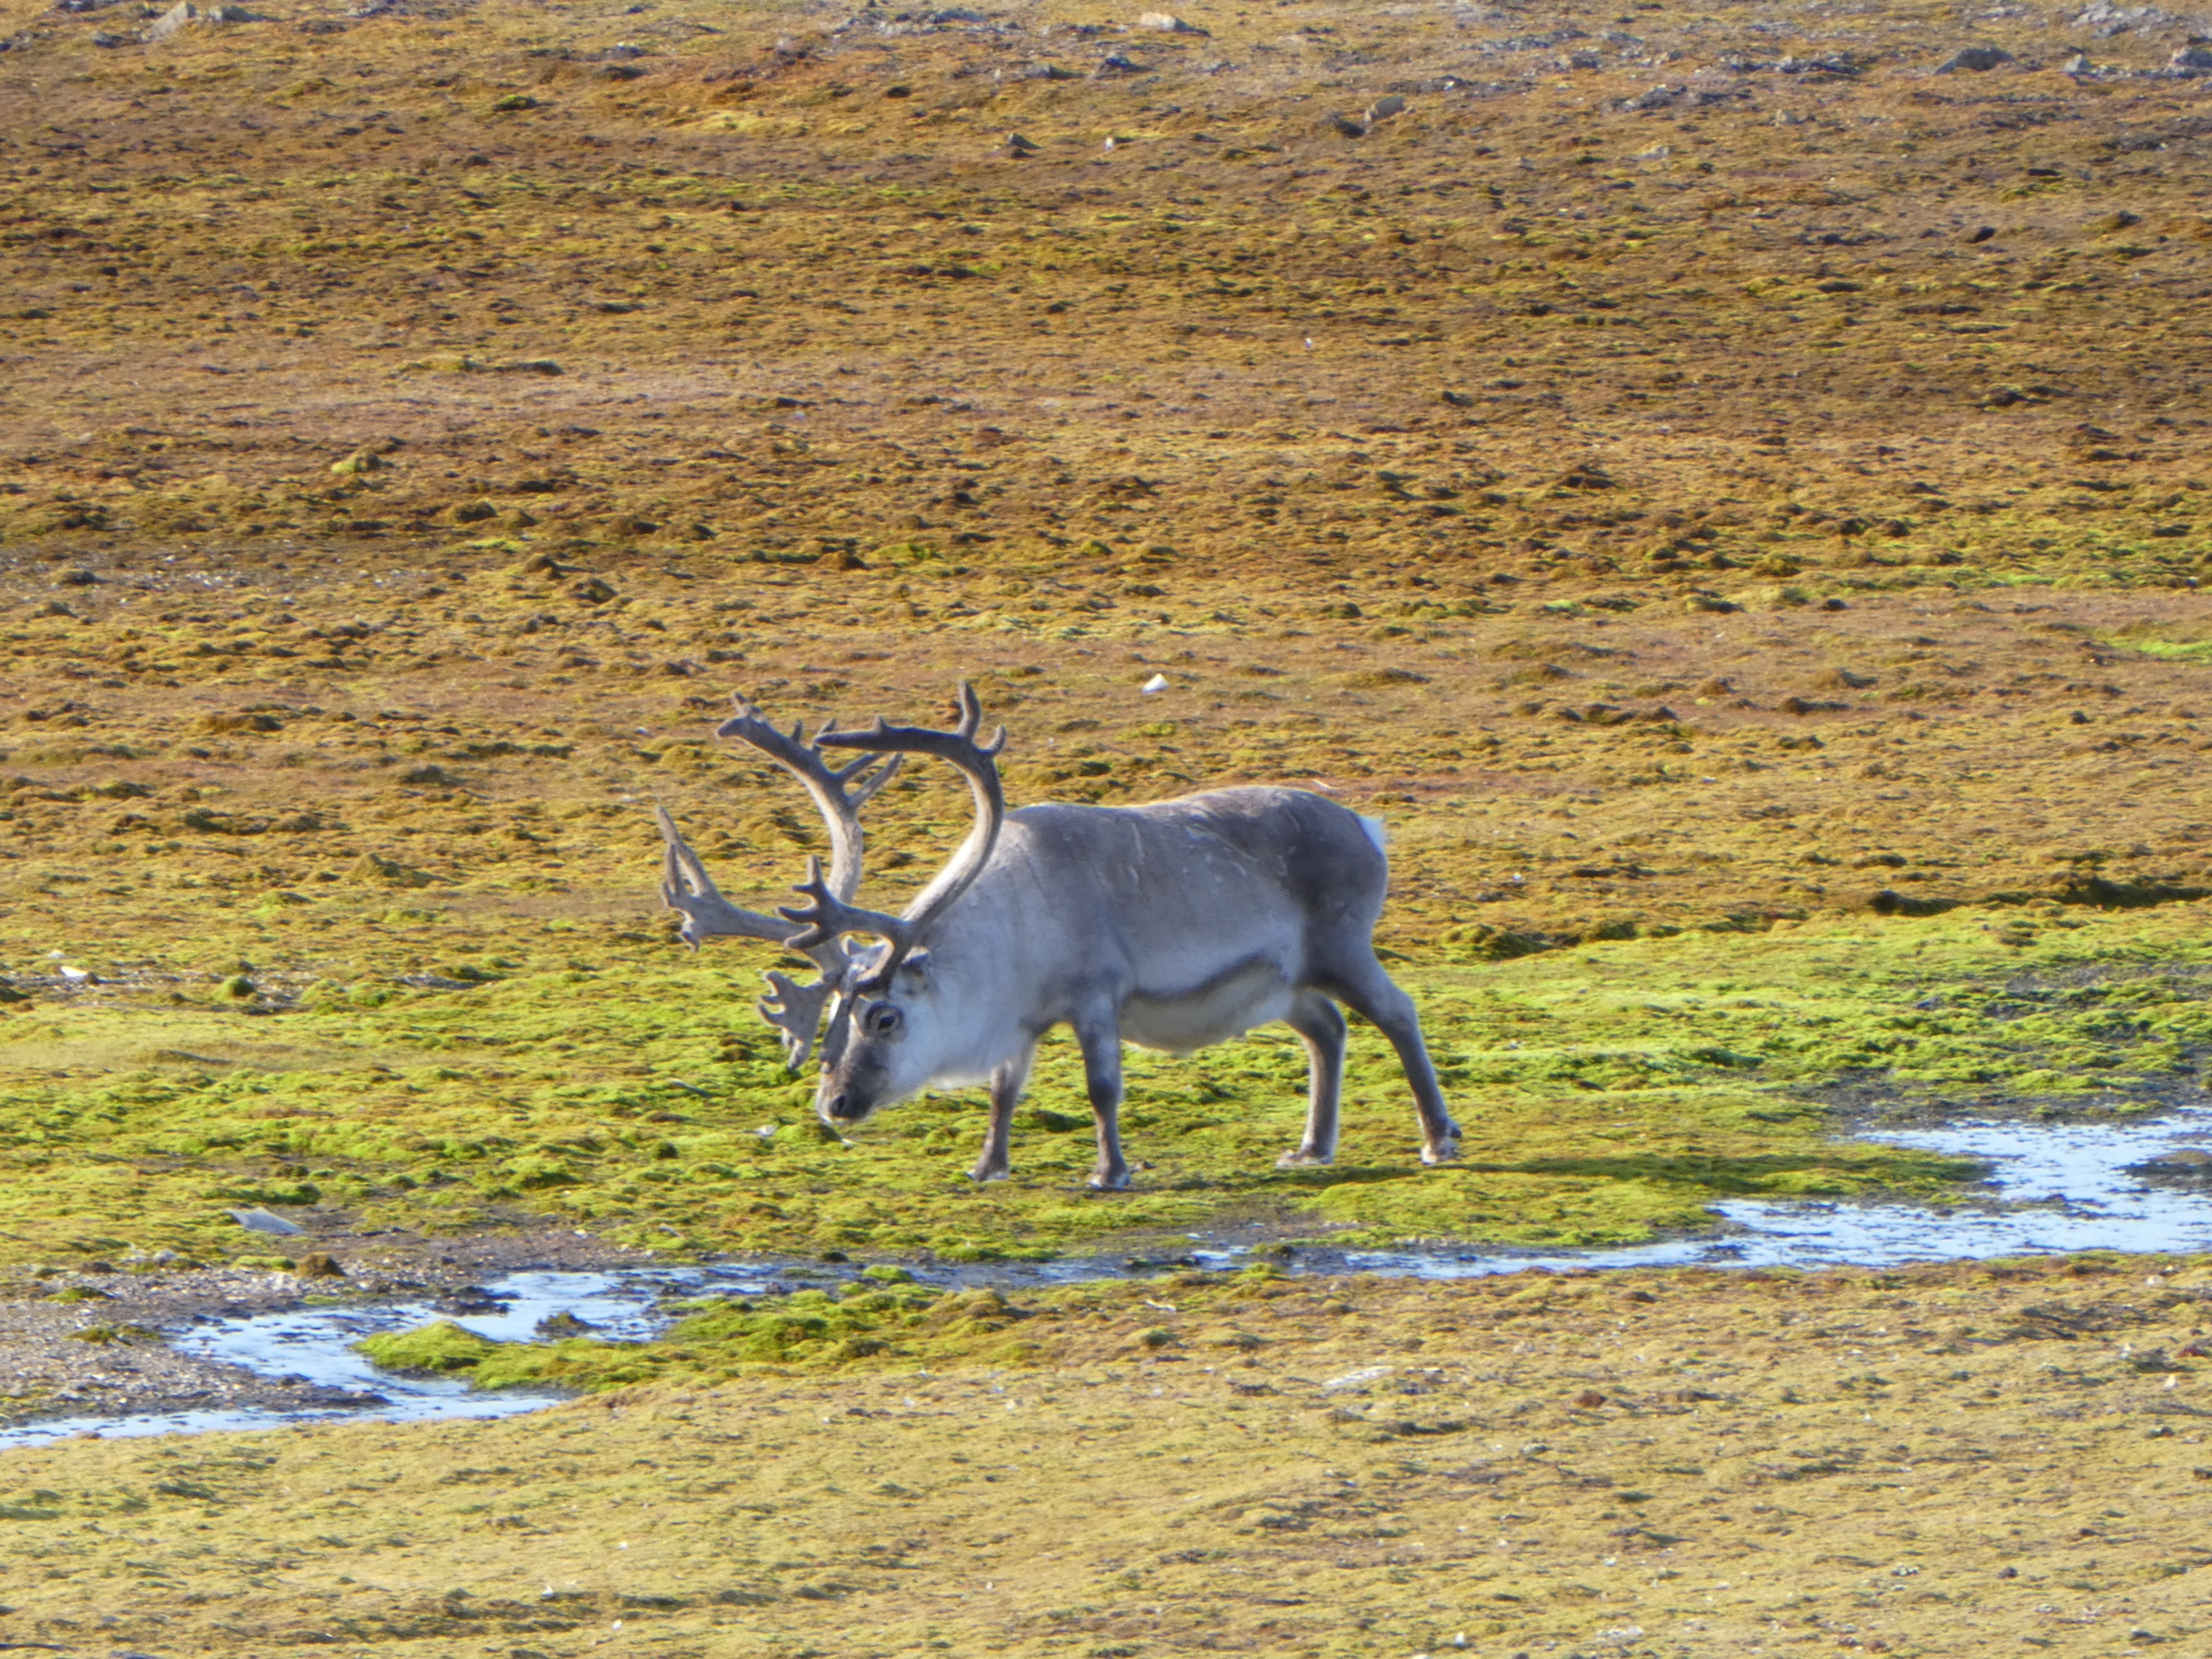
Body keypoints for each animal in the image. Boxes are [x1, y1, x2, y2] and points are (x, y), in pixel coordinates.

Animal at [655, 683, 1460, 1190]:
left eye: (884, 1016)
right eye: (831, 1018)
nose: (836, 1105)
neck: (1009, 935)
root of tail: (1367, 827)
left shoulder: (1095, 993)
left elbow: (1103, 1087)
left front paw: (1110, 1171)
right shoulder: (1023, 1021)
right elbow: (1003, 1091)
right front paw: (987, 1167)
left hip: (1343, 944)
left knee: (1397, 1012)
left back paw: (1437, 1139)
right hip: (1285, 982)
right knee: (1326, 1028)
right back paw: (1311, 1147)